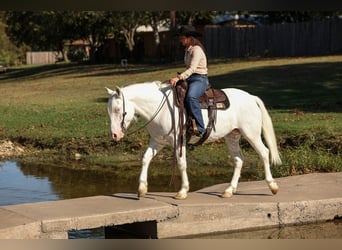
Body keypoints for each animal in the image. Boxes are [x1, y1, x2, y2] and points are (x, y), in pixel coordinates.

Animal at [105, 81, 282, 200]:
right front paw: (142, 189)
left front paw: (182, 191)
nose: (114, 135)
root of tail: (251, 97)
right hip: (232, 136)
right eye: (109, 110)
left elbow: (181, 164)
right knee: (239, 159)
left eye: (118, 109)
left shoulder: (178, 142)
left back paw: (272, 186)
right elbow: (145, 159)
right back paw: (229, 190)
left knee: (264, 153)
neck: (161, 109)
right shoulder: (157, 142)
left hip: (251, 133)